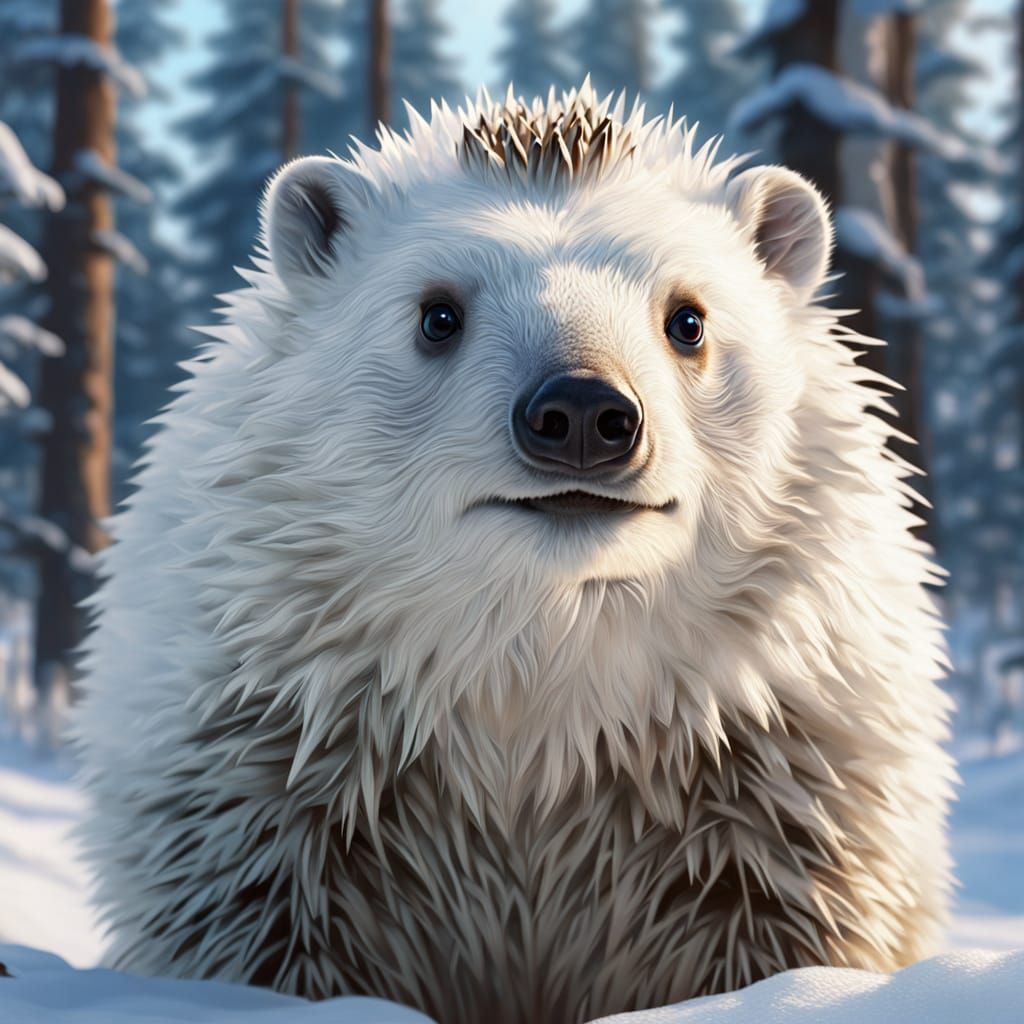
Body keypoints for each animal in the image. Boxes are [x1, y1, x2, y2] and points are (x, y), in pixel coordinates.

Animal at [73, 82, 955, 1024]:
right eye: (438, 314)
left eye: (688, 319)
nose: (583, 414)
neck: (537, 691)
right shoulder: (262, 773)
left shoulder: (773, 781)